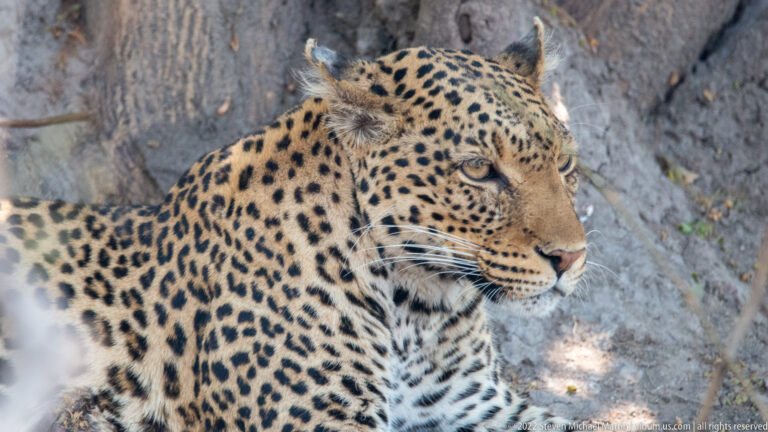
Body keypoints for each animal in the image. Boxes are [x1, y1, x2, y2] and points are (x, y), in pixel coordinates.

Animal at [0, 18, 586, 432]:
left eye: (565, 164)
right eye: (478, 170)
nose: (571, 257)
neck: (418, 308)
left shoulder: (479, 406)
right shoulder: (321, 421)